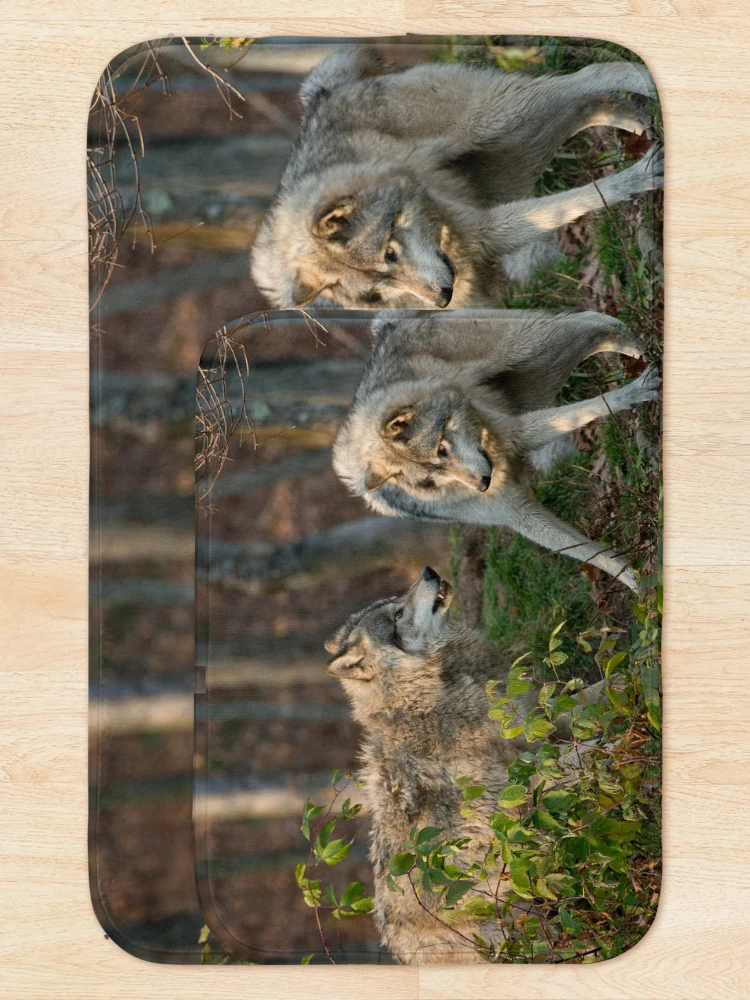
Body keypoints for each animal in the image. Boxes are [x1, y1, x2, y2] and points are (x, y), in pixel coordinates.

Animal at [250, 46, 662, 310]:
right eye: (377, 293)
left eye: (390, 255)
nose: (441, 300)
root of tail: (323, 94)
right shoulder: (485, 255)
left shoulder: (485, 227)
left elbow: (582, 197)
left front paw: (635, 180)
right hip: (513, 157)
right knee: (585, 107)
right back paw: (633, 120)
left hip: (499, 116)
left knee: (589, 76)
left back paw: (642, 80)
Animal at [325, 567, 599, 964]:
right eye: (398, 615)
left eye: (396, 603)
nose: (429, 571)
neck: (426, 695)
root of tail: (402, 956)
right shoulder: (519, 784)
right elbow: (573, 756)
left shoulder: (532, 720)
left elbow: (585, 701)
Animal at [333, 309, 659, 591]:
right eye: (430, 480)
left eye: (441, 450)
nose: (482, 485)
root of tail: (384, 328)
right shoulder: (515, 512)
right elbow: (594, 556)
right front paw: (638, 585)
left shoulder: (516, 432)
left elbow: (586, 409)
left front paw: (631, 394)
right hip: (536, 380)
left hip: (527, 348)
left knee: (588, 320)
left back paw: (638, 346)